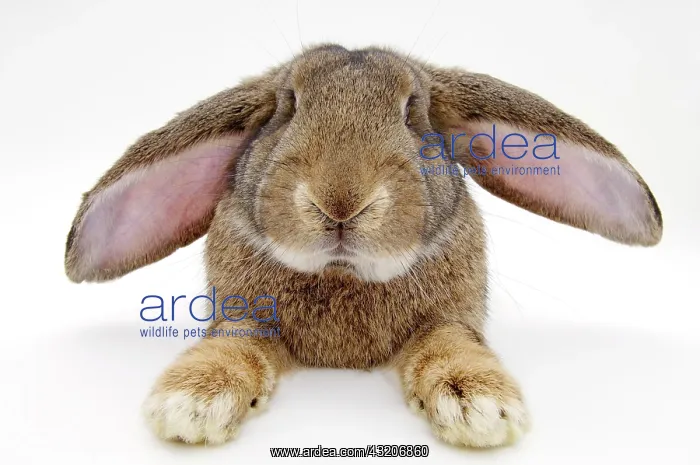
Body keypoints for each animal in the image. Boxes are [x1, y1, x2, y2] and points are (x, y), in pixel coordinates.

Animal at [64, 44, 663, 448]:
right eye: (288, 105)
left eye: (412, 111)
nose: (340, 201)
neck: (343, 273)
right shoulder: (241, 315)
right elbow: (232, 345)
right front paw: (193, 401)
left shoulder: (451, 317)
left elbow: (449, 345)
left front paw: (480, 405)